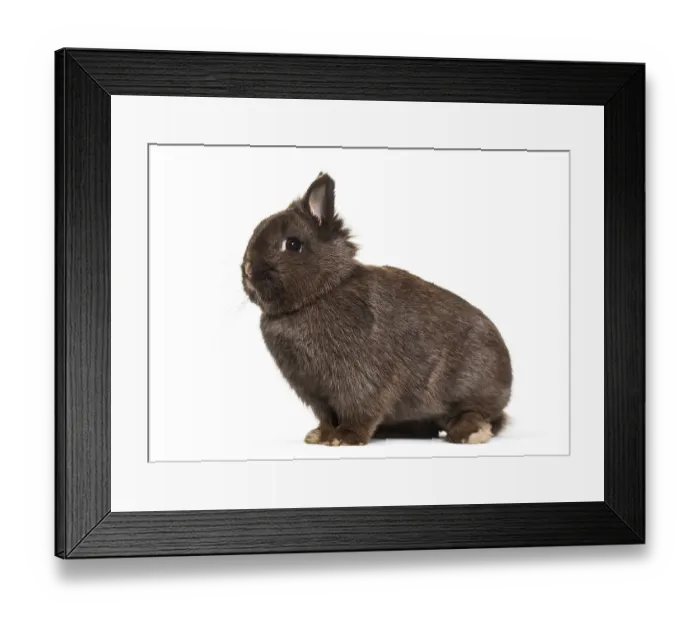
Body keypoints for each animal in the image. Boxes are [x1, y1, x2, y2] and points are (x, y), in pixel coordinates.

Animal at [241, 172, 513, 446]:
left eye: (293, 244)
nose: (249, 270)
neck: (321, 293)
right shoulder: (316, 395)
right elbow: (326, 416)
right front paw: (320, 436)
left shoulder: (360, 381)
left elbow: (359, 410)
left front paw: (345, 438)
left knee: (481, 415)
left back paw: (471, 432)